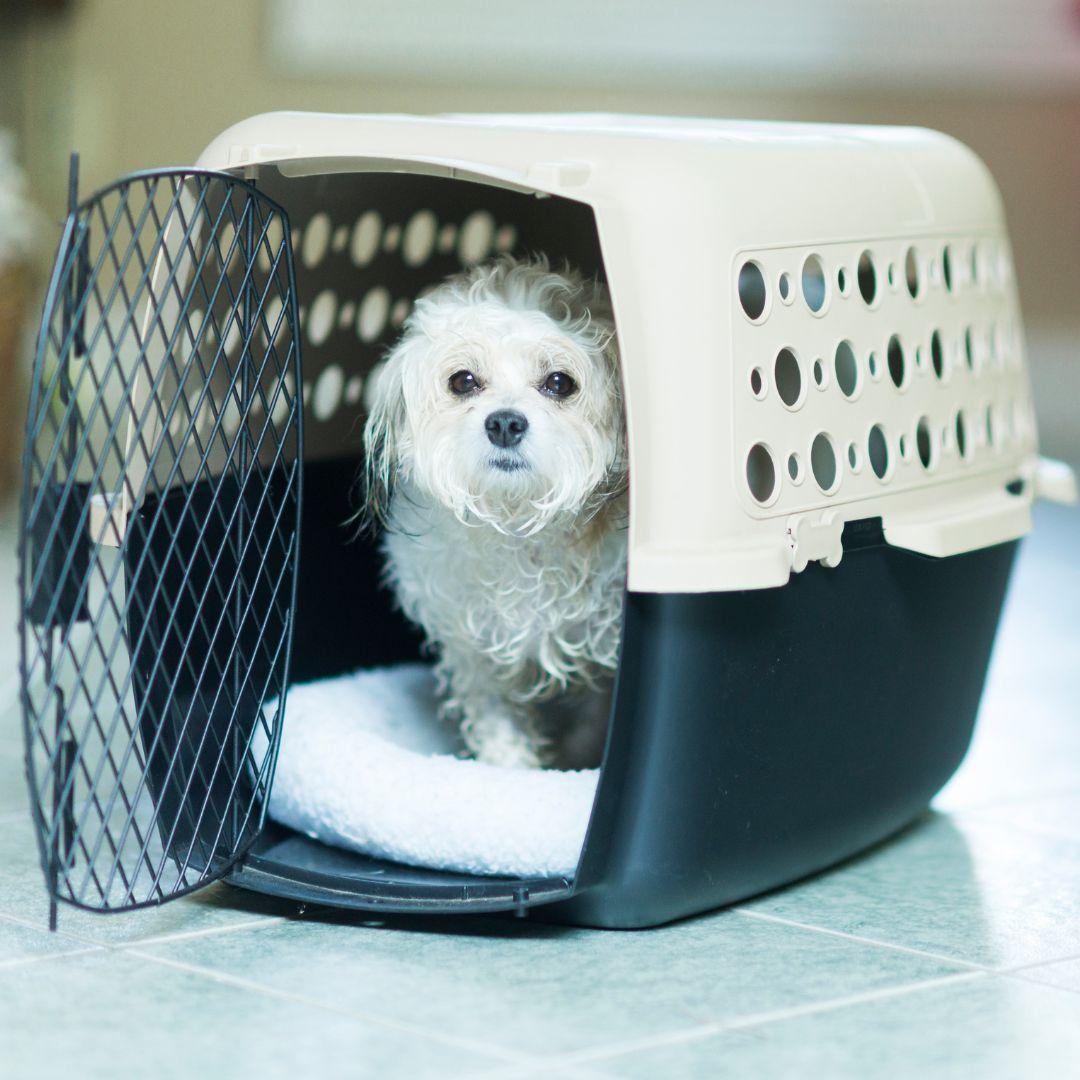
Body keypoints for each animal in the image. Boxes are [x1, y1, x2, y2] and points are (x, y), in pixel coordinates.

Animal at [365, 255, 630, 768]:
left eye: (559, 382)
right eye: (463, 381)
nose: (505, 422)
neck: (517, 529)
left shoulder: (606, 660)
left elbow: (596, 724)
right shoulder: (475, 657)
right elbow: (500, 730)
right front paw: (514, 774)